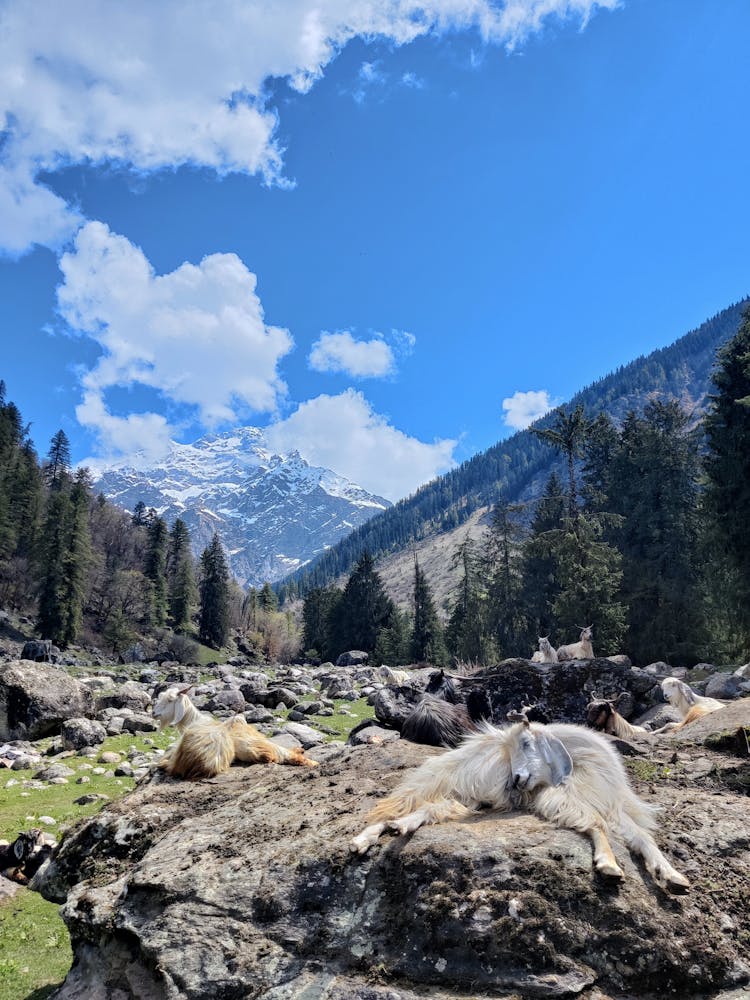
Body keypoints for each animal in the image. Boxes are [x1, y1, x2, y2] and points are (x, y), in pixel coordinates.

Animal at [350, 720, 692, 892]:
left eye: (527, 743)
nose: (514, 780)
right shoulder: (564, 800)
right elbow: (594, 823)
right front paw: (608, 866)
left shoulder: (611, 806)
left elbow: (642, 837)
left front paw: (672, 875)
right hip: (445, 785)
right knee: (395, 809)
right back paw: (363, 839)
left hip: (462, 799)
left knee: (424, 811)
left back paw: (397, 829)